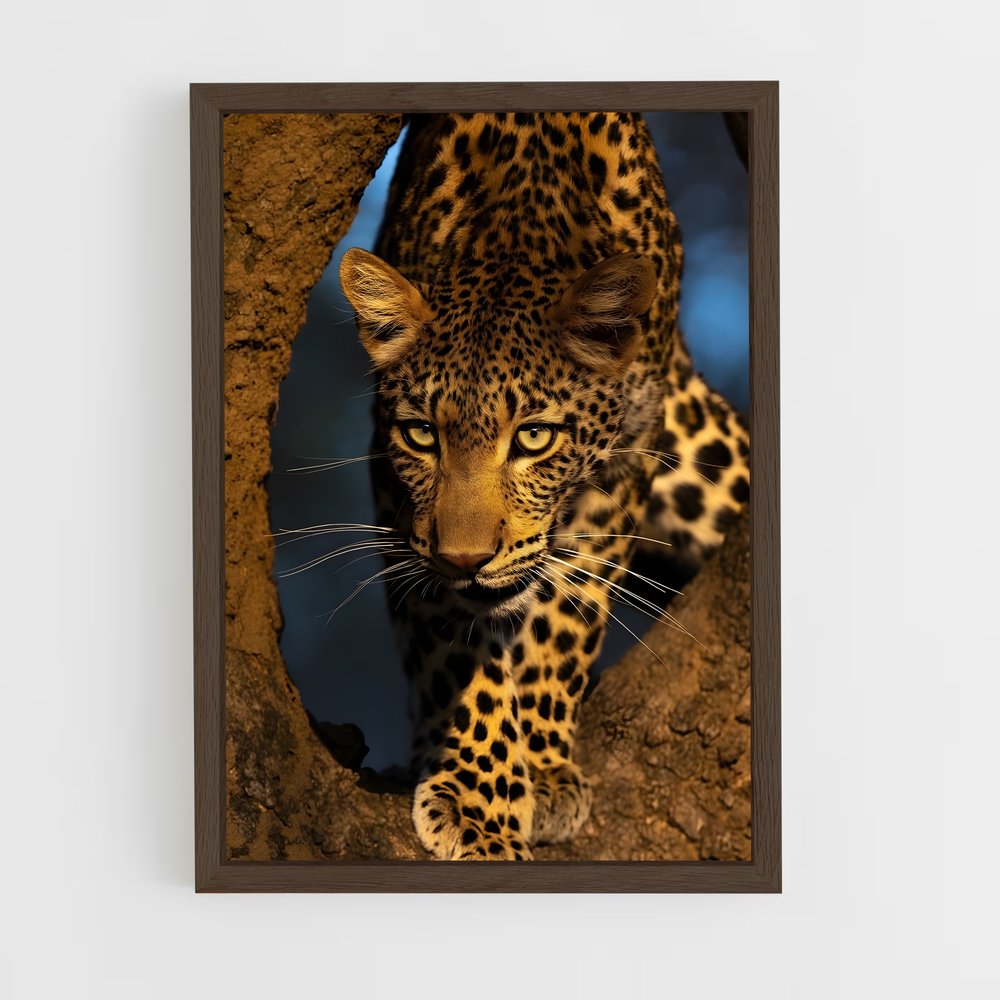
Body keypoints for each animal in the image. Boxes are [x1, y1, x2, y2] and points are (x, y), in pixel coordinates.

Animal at [339, 112, 749, 860]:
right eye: (422, 436)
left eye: (533, 439)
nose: (465, 560)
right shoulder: (396, 489)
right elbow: (454, 645)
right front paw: (476, 798)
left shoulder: (625, 461)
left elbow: (570, 607)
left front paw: (544, 765)